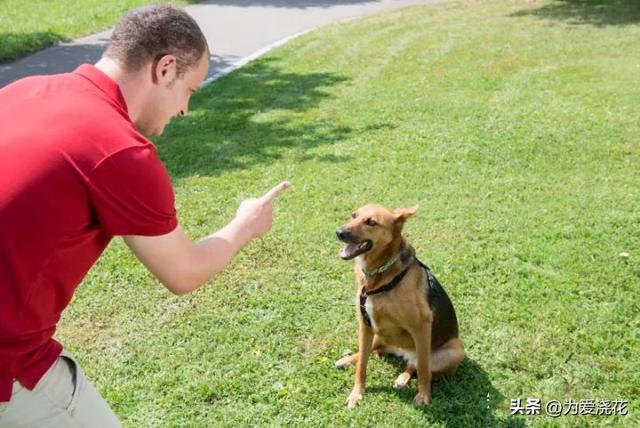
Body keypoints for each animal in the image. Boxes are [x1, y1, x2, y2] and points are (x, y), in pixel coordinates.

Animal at [336, 204, 464, 408]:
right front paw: (357, 393)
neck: (380, 276)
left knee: (416, 365)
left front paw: (424, 396)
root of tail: (401, 352)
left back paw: (402, 378)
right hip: (378, 334)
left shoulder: (422, 327)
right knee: (373, 352)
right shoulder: (365, 325)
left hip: (455, 350)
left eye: (371, 222)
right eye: (353, 215)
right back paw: (348, 359)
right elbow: (362, 364)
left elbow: (424, 369)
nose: (339, 232)